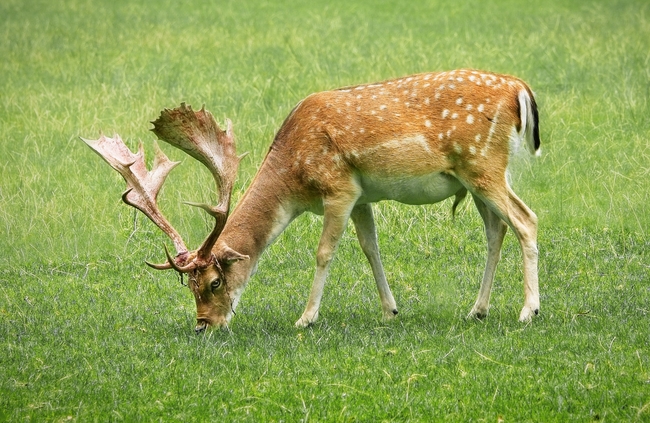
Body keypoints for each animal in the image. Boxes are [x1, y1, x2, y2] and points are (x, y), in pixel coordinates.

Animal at [83, 70, 540, 334]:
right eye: (189, 286)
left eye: (214, 282)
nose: (203, 325)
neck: (294, 180)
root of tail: (521, 89)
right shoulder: (361, 197)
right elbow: (370, 248)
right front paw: (390, 310)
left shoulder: (338, 189)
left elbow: (324, 252)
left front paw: (305, 317)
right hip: (476, 177)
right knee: (497, 229)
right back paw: (477, 310)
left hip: (483, 164)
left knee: (526, 219)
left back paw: (528, 311)